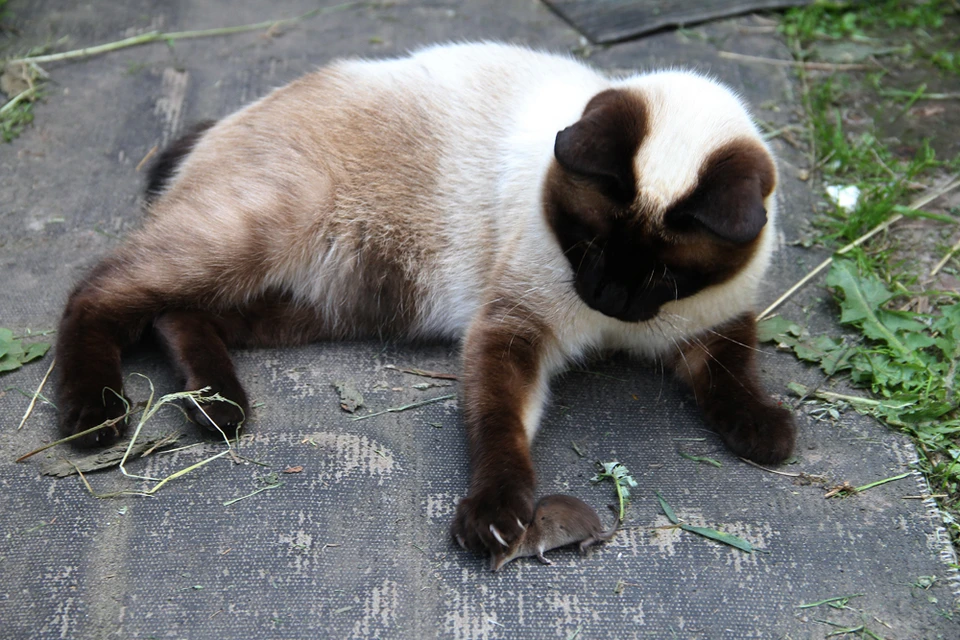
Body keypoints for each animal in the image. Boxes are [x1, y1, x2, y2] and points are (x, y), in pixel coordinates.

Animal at [56, 43, 800, 556]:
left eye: (662, 278)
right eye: (586, 245)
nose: (605, 299)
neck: (615, 330)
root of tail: (222, 121)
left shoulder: (715, 320)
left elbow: (733, 376)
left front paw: (765, 433)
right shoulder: (513, 329)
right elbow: (500, 430)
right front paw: (495, 519)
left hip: (314, 305)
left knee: (176, 312)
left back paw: (216, 408)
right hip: (259, 241)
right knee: (100, 292)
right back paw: (97, 417)